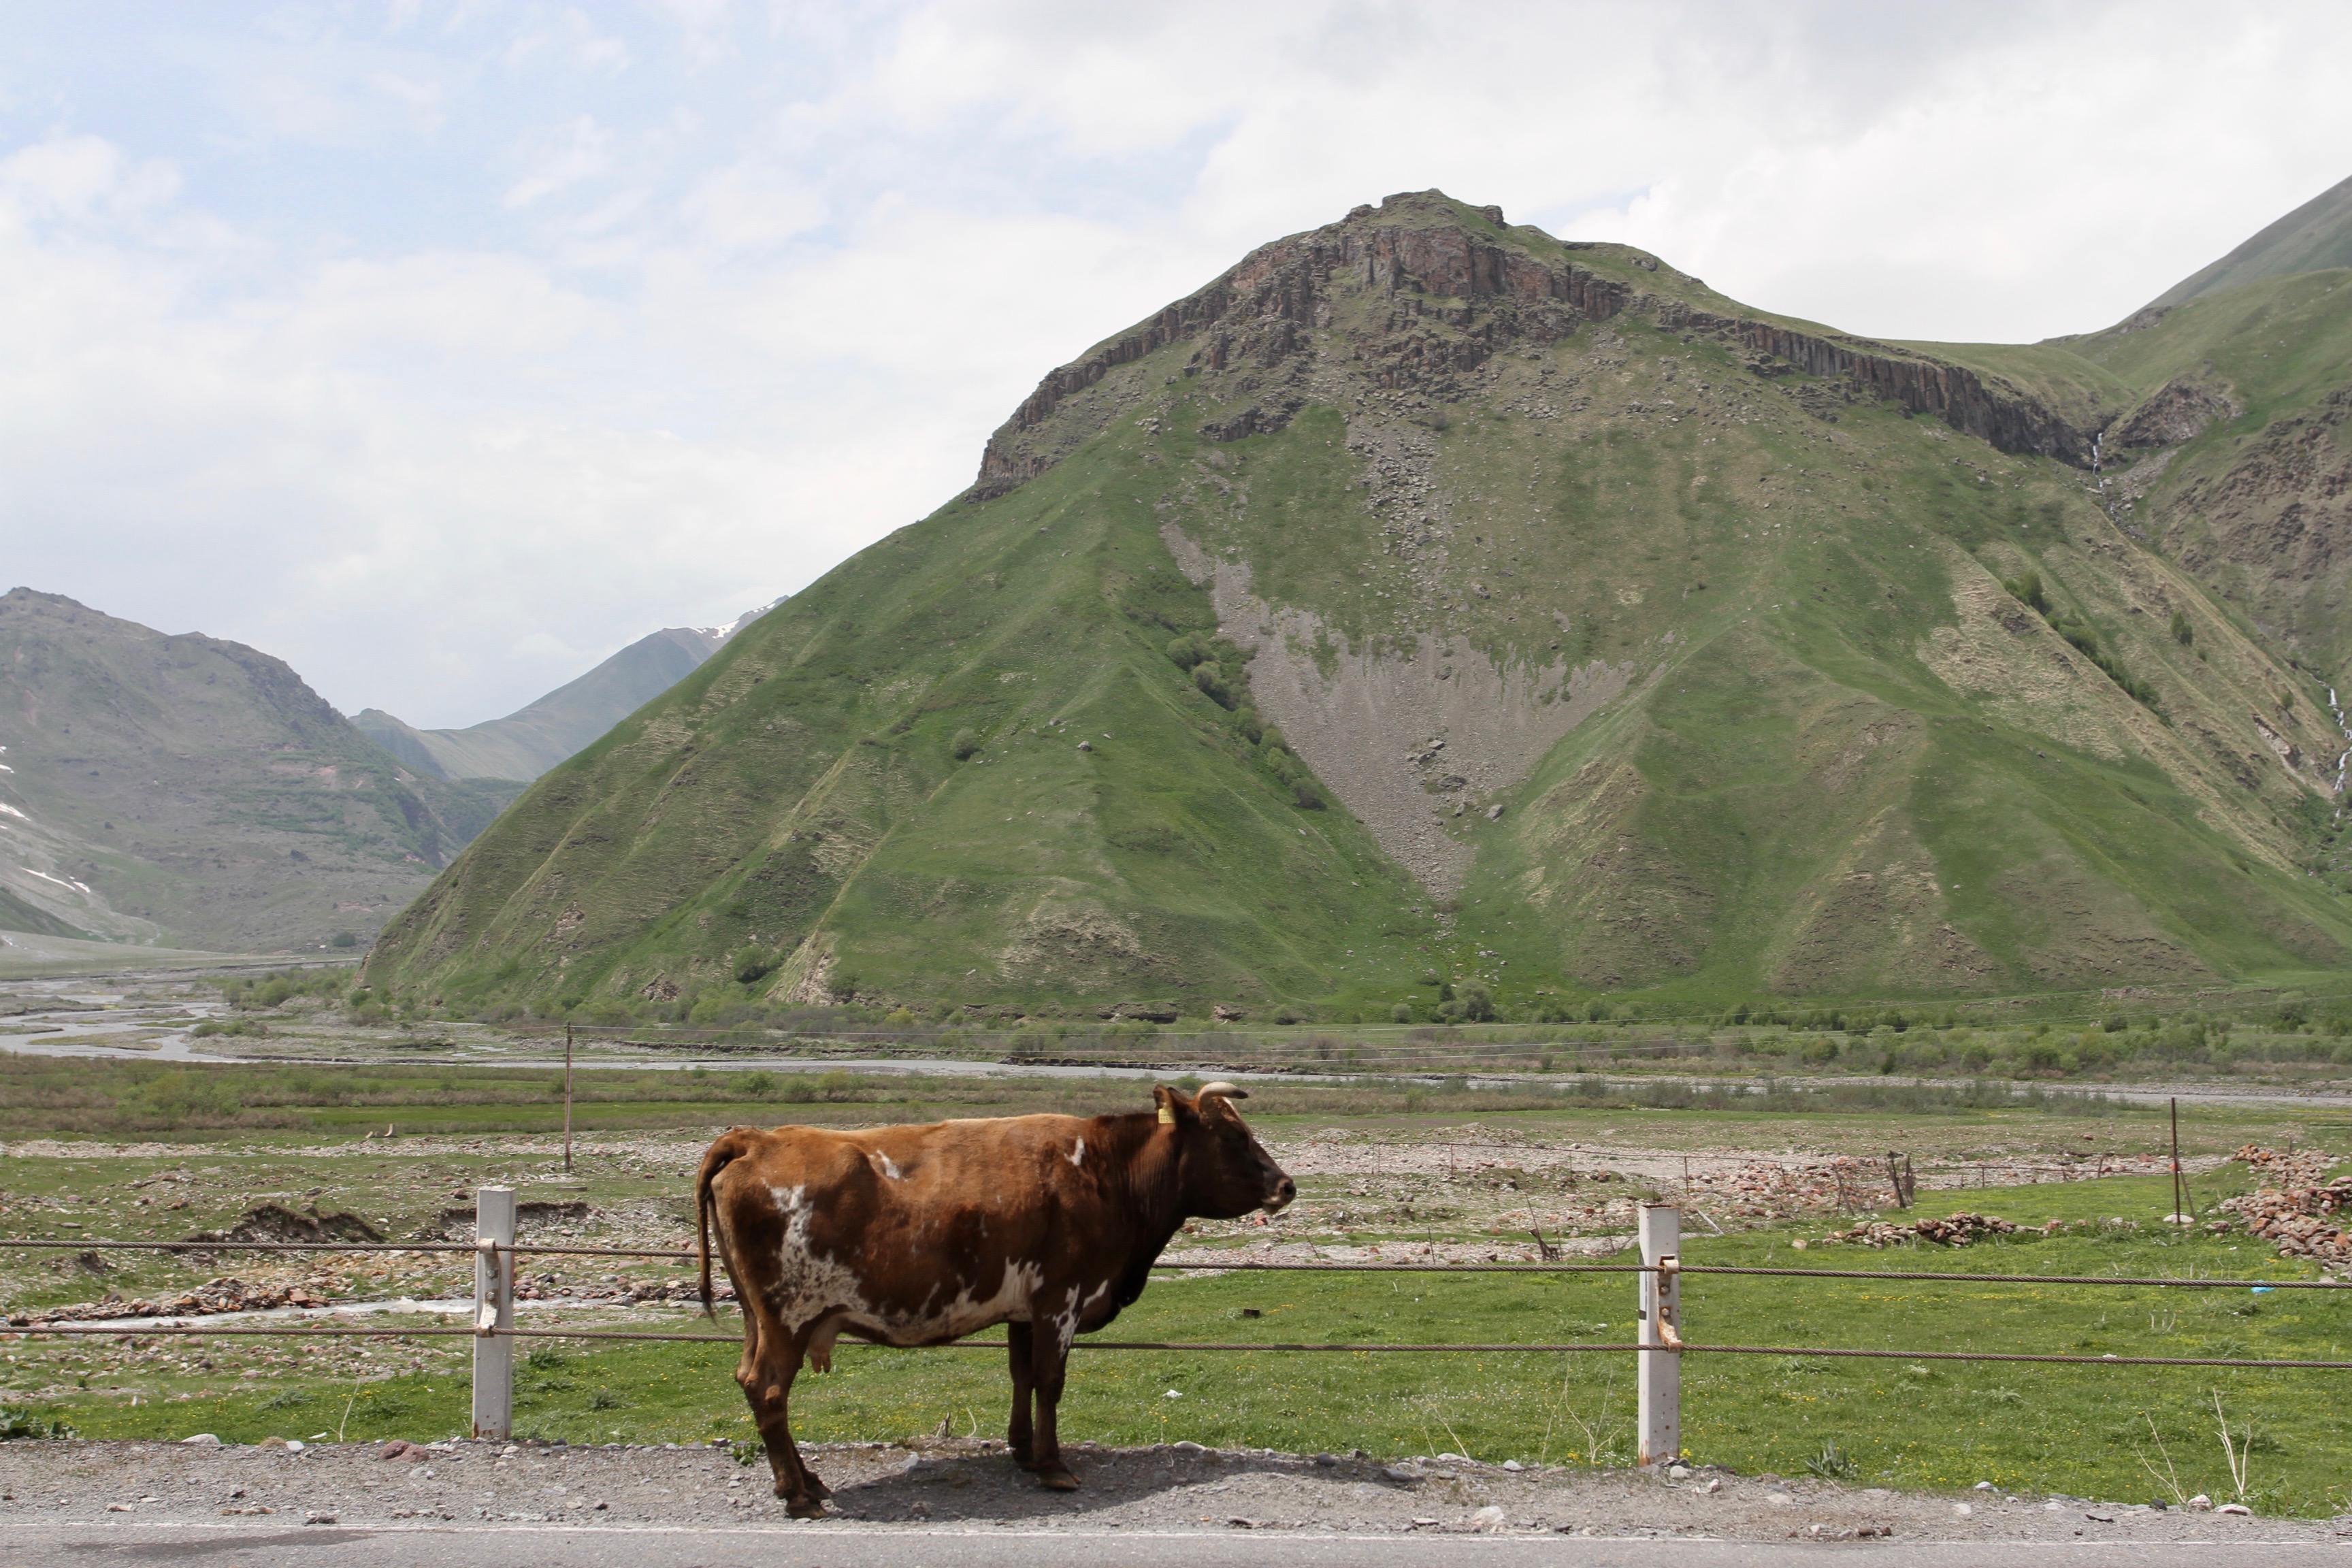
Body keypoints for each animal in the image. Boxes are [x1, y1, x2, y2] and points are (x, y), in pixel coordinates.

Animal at [694, 1081, 1294, 1516]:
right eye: (1233, 1137)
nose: (1286, 1185)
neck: (1105, 1173)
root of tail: (755, 1139)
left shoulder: (1024, 1309)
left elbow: (1022, 1376)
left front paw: (1023, 1451)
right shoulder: (1060, 1300)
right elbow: (1050, 1381)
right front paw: (1053, 1465)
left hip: (757, 1319)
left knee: (752, 1383)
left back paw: (806, 1482)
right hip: (789, 1317)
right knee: (770, 1391)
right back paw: (798, 1494)